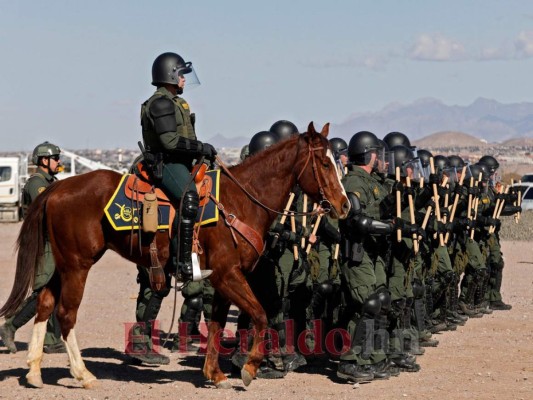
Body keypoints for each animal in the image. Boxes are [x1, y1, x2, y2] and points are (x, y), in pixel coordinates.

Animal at [1, 122, 350, 388]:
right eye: (324, 164)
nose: (344, 205)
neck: (242, 201)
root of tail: (56, 189)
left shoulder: (221, 278)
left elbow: (218, 322)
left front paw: (214, 373)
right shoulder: (228, 275)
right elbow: (261, 314)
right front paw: (249, 369)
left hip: (62, 264)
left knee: (44, 303)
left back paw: (34, 372)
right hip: (77, 265)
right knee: (65, 313)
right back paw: (82, 374)